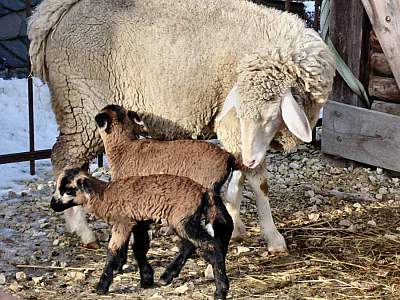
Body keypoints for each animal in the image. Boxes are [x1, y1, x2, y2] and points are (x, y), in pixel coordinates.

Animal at [28, 0, 336, 253]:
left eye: (272, 116)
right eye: (244, 114)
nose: (251, 155)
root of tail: (55, 14)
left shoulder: (242, 139)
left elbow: (238, 177)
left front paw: (235, 223)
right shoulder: (235, 130)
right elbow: (258, 182)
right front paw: (273, 238)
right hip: (80, 104)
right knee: (63, 156)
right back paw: (83, 230)